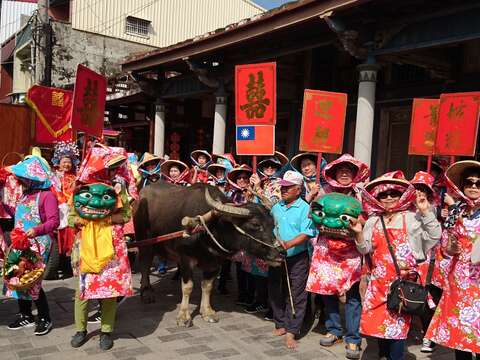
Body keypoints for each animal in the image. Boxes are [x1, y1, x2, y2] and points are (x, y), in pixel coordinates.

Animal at [133, 183, 284, 326]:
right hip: (144, 241)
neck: (209, 228)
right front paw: (183, 317)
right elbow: (187, 287)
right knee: (144, 264)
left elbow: (207, 286)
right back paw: (146, 292)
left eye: (273, 224)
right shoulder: (185, 259)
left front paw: (207, 312)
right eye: (255, 224)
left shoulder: (215, 262)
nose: (280, 254)